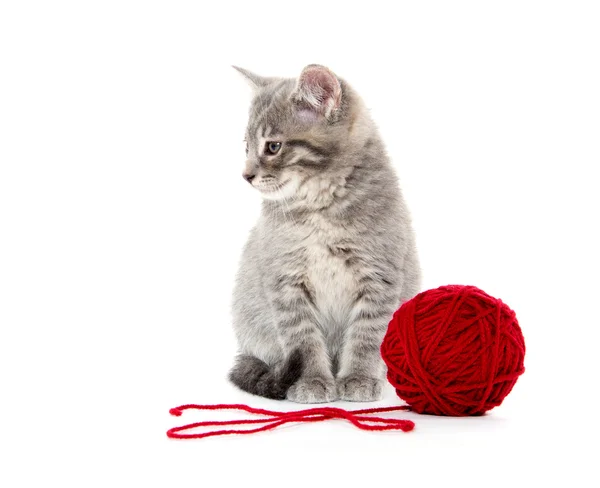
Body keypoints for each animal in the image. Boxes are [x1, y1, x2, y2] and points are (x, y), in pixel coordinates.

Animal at [227, 63, 420, 402]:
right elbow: (303, 340)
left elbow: (367, 334)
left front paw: (359, 377)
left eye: (273, 146)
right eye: (246, 147)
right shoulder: (285, 281)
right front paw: (312, 380)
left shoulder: (379, 275)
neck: (320, 209)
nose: (246, 175)